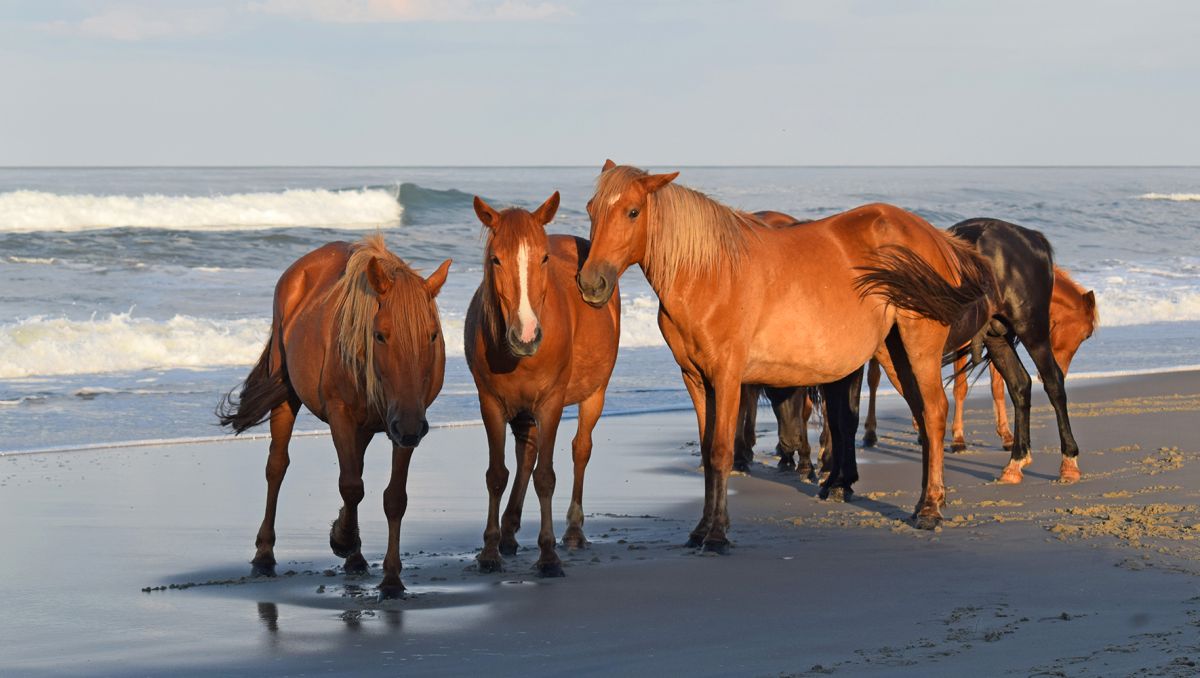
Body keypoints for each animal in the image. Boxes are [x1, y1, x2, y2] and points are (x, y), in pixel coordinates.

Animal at [217, 235, 451, 595]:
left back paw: (355, 559)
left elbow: (394, 497)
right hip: (288, 396)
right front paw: (342, 538)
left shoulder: (404, 422)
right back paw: (265, 556)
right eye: (380, 335)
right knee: (277, 467)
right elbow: (351, 486)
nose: (411, 427)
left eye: (433, 335)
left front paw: (391, 578)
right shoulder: (344, 415)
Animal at [465, 190, 624, 576]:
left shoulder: (550, 404)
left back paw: (574, 531)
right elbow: (497, 474)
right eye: (496, 259)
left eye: (544, 258)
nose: (526, 336)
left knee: (580, 449)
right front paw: (489, 551)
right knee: (526, 455)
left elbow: (546, 477)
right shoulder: (490, 404)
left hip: (594, 394)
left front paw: (548, 555)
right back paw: (509, 533)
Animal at [576, 158, 998, 544]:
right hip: (893, 353)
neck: (708, 274)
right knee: (924, 418)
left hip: (918, 348)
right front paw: (701, 530)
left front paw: (717, 534)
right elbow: (707, 450)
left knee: (934, 413)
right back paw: (925, 503)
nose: (591, 283)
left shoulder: (727, 377)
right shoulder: (695, 379)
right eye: (591, 209)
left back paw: (929, 511)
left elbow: (721, 451)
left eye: (632, 212)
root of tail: (935, 236)